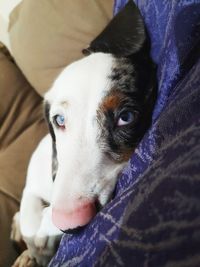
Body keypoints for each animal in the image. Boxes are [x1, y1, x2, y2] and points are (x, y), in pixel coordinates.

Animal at [10, 1, 157, 266]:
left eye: (126, 117)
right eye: (59, 120)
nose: (69, 219)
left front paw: (46, 233)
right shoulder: (34, 179)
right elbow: (28, 213)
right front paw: (34, 242)